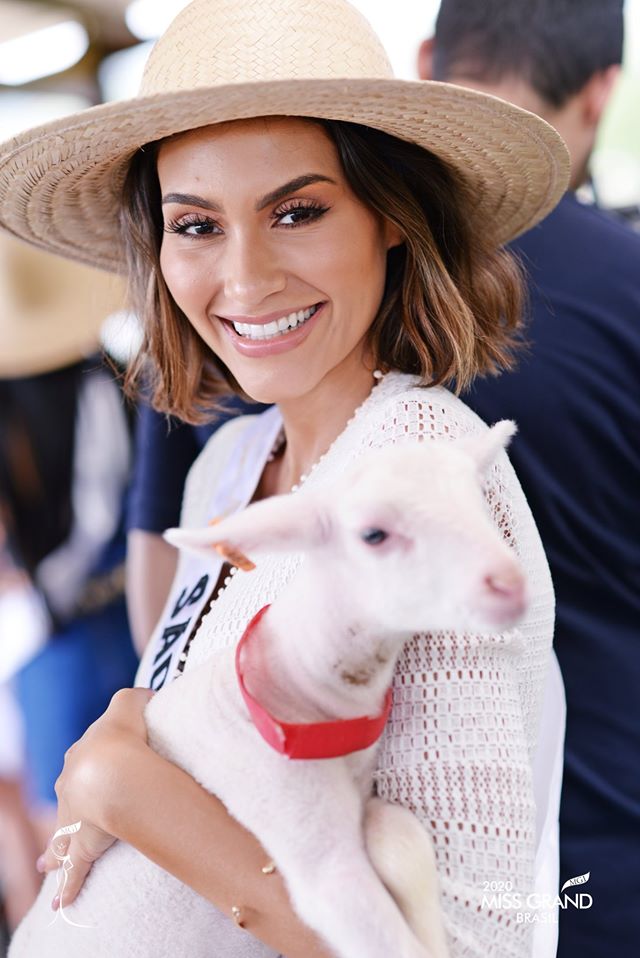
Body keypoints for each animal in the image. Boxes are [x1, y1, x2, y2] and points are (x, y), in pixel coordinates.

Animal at [10, 424, 528, 958]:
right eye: (373, 535)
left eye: (478, 503)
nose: (511, 584)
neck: (294, 683)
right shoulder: (310, 845)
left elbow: (401, 834)